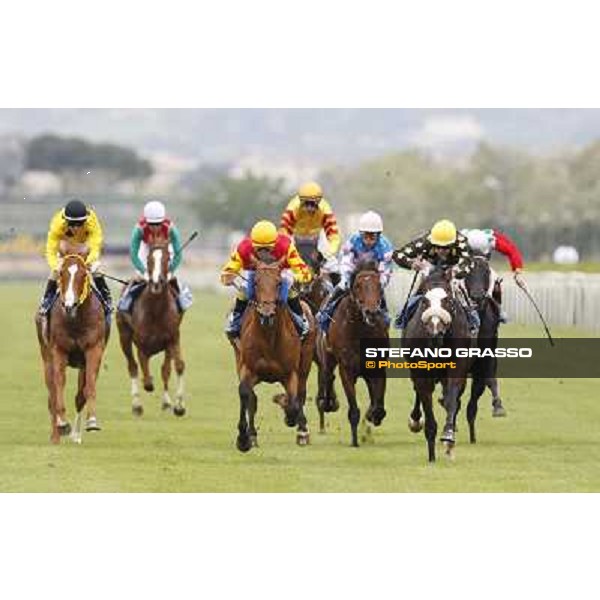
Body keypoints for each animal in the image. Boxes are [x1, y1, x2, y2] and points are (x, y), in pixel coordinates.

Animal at [34, 244, 109, 446]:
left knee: (79, 395)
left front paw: (91, 423)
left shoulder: (94, 350)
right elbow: (58, 384)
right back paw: (56, 434)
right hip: (46, 356)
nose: (69, 305)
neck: (75, 319)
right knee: (51, 393)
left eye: (83, 274)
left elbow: (87, 389)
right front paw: (62, 425)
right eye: (62, 273)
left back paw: (75, 434)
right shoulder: (58, 350)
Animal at [115, 237, 185, 414]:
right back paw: (137, 405)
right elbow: (145, 376)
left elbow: (175, 367)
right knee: (132, 366)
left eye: (168, 258)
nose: (156, 282)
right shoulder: (141, 344)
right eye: (148, 260)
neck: (156, 311)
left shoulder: (172, 338)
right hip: (124, 336)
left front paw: (178, 405)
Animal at [231, 256, 316, 450]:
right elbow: (245, 394)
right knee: (252, 398)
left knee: (301, 393)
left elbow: (294, 402)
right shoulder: (247, 368)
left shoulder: (290, 373)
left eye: (278, 283)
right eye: (256, 282)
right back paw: (252, 435)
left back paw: (302, 431)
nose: (267, 313)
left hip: (306, 361)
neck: (269, 337)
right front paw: (243, 438)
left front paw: (290, 415)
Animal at [316, 260, 386, 448]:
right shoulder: (346, 370)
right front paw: (355, 440)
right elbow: (353, 409)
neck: (360, 332)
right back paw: (328, 402)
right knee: (327, 376)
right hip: (326, 356)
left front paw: (372, 414)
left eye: (379, 285)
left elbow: (378, 406)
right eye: (358, 286)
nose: (371, 312)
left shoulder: (378, 367)